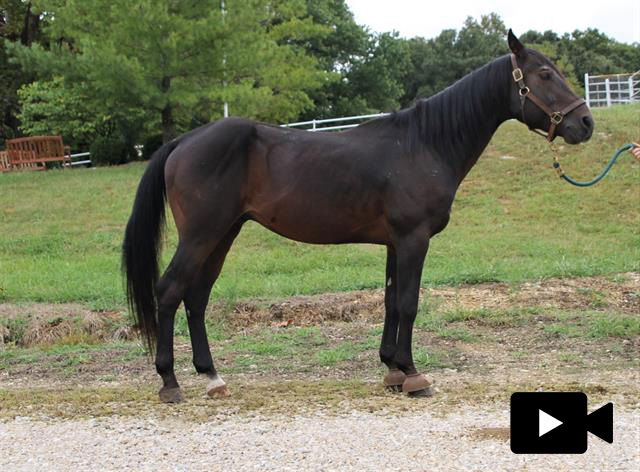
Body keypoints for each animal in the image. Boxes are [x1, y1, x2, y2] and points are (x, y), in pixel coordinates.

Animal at [122, 31, 592, 404]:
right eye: (544, 75)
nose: (585, 123)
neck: (423, 144)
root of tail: (183, 141)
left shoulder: (395, 243)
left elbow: (390, 300)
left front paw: (392, 370)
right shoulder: (414, 239)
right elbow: (409, 303)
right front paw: (414, 375)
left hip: (223, 234)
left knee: (196, 297)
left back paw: (213, 378)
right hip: (202, 235)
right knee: (169, 291)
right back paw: (169, 382)